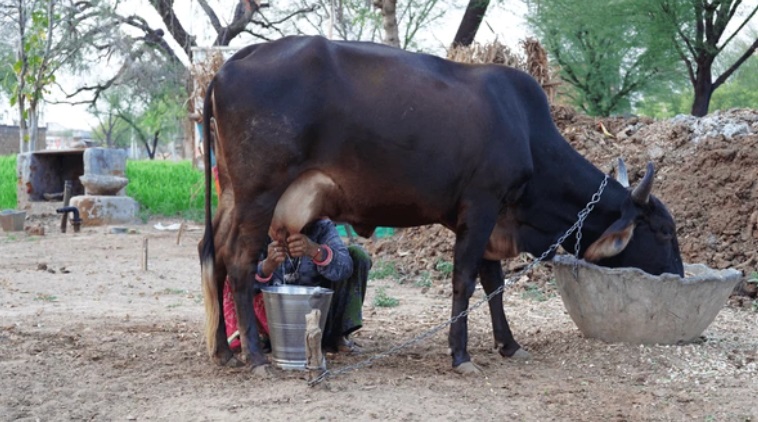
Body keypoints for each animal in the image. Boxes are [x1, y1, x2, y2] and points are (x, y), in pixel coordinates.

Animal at [199, 35, 684, 376]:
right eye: (663, 230)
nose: (679, 275)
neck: (526, 133)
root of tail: (233, 63)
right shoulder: (481, 206)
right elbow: (465, 281)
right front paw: (461, 354)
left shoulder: (487, 220)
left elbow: (493, 284)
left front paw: (509, 345)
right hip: (259, 194)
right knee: (239, 263)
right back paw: (256, 357)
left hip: (232, 196)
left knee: (212, 254)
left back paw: (223, 350)